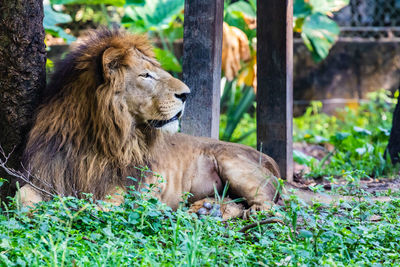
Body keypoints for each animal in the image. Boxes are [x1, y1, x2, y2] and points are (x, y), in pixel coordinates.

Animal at [18, 28, 280, 217]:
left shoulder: (125, 189)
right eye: (146, 75)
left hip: (232, 162)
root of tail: (272, 162)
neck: (94, 138)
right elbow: (22, 197)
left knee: (272, 206)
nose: (187, 94)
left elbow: (98, 207)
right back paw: (207, 210)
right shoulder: (47, 174)